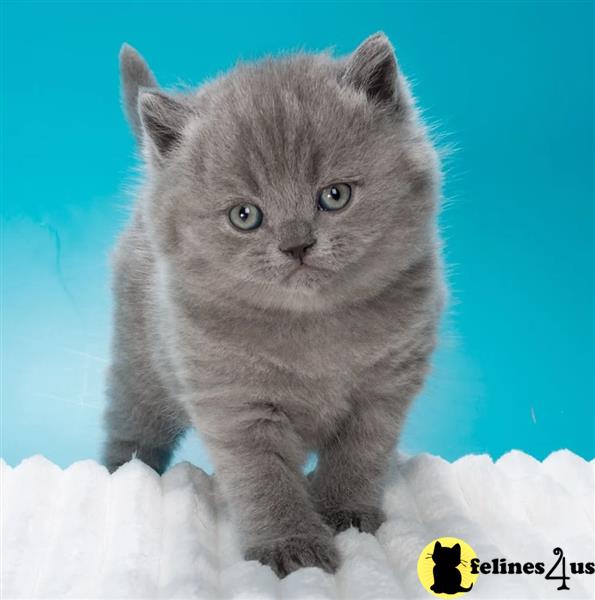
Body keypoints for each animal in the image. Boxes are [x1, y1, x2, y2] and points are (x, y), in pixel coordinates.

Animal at [105, 32, 444, 576]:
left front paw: (346, 513)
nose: (296, 244)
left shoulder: (386, 388)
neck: (313, 325)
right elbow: (264, 479)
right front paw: (291, 545)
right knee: (132, 423)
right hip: (141, 364)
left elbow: (360, 455)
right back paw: (122, 476)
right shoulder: (235, 403)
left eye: (334, 195)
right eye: (245, 215)